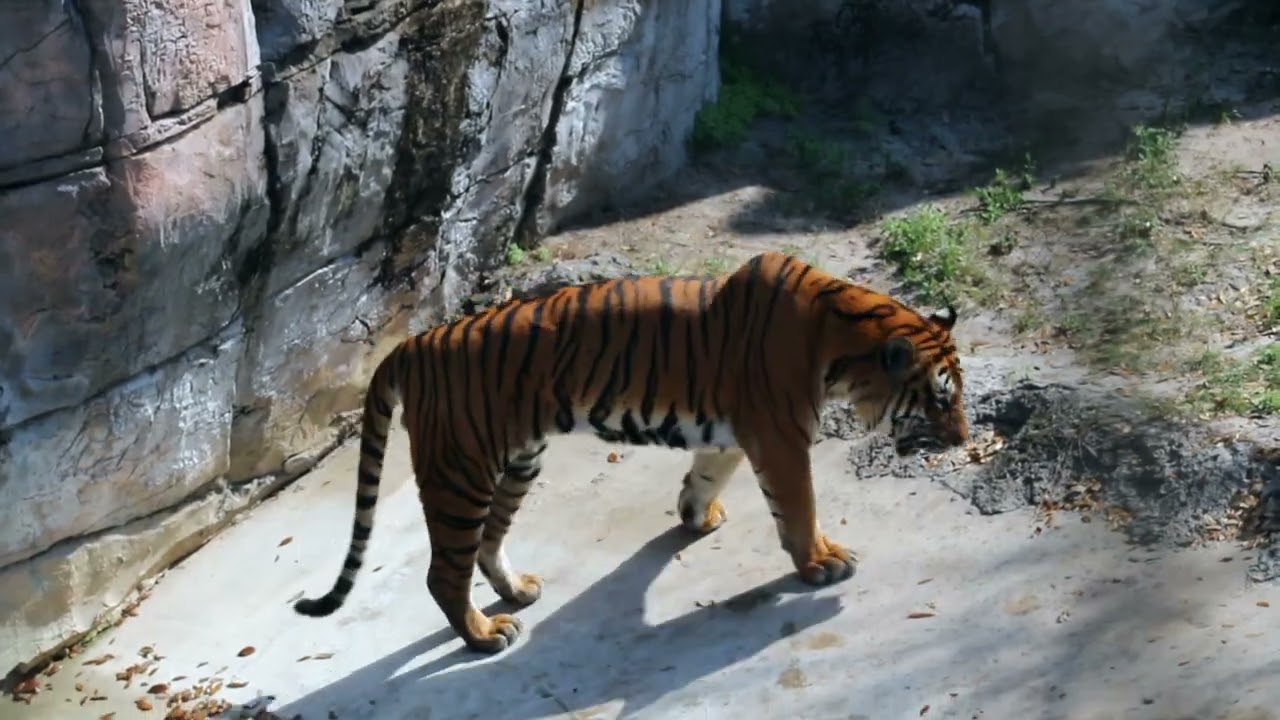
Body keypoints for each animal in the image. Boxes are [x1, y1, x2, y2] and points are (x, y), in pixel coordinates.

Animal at [293, 250, 969, 653]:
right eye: (941, 400)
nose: (964, 438)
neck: (842, 340)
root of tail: (412, 345)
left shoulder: (734, 432)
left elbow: (706, 476)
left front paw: (699, 516)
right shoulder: (780, 438)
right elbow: (799, 508)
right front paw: (822, 562)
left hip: (517, 460)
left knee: (488, 542)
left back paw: (517, 590)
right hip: (460, 472)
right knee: (444, 572)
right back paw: (486, 635)